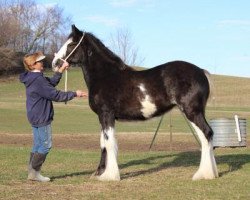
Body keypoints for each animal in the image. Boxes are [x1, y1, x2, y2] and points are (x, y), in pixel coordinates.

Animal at [51, 25, 218, 181]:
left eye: (71, 44)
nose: (54, 63)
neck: (106, 76)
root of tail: (201, 72)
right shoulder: (102, 117)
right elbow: (103, 143)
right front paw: (99, 172)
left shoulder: (106, 114)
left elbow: (109, 143)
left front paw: (110, 176)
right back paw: (213, 173)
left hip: (192, 111)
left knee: (206, 134)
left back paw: (203, 174)